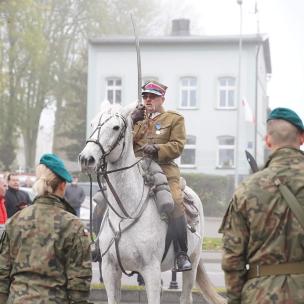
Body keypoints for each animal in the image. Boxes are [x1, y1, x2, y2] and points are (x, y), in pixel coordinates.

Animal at [79, 102, 226, 304]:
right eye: (93, 123)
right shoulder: (110, 270)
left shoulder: (151, 271)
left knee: (186, 296)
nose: (87, 159)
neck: (125, 212)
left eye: (116, 127)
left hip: (193, 263)